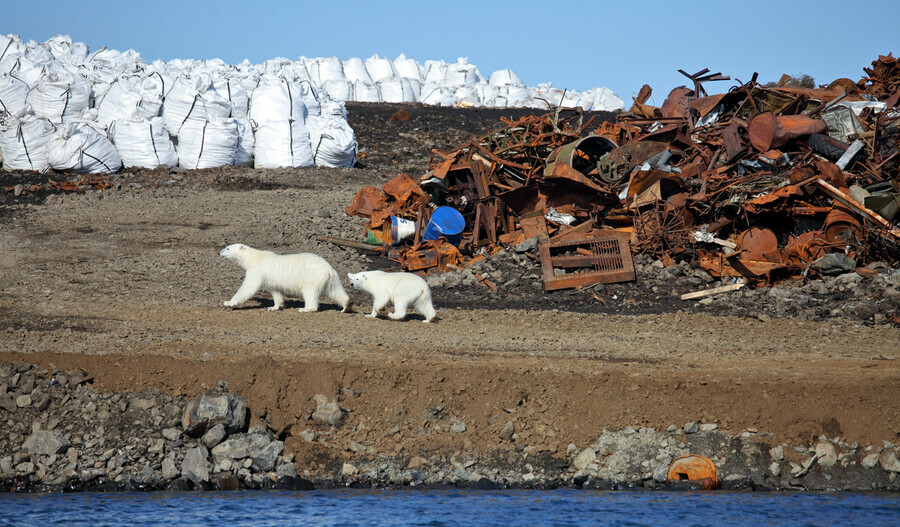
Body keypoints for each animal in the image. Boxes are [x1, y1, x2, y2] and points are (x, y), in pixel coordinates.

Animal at [220, 244, 350, 314]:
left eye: (228, 248)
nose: (219, 253)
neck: (254, 258)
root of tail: (328, 268)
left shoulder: (257, 270)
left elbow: (248, 287)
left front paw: (228, 302)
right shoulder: (270, 279)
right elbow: (276, 291)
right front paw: (273, 307)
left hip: (312, 275)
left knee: (309, 291)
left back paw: (305, 309)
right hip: (331, 278)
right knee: (335, 291)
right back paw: (346, 306)